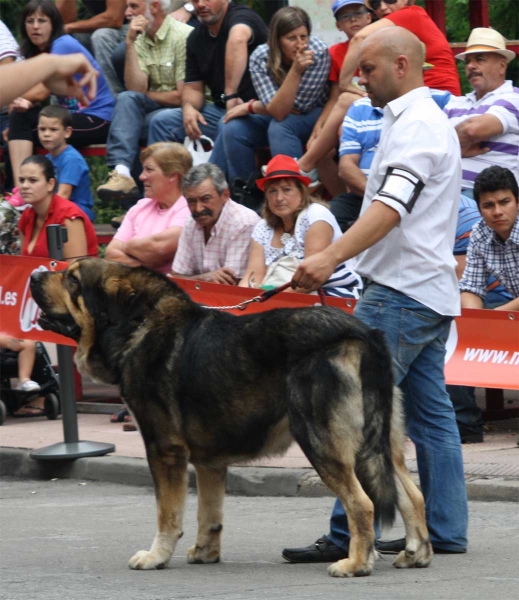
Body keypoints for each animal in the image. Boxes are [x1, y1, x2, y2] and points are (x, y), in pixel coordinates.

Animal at [30, 258, 432, 576]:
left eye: (72, 280)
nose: (34, 274)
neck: (137, 323)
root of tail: (364, 335)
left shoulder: (164, 449)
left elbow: (167, 513)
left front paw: (157, 556)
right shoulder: (209, 461)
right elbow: (208, 514)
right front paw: (205, 552)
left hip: (322, 441)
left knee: (362, 504)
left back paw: (356, 563)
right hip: (380, 444)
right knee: (412, 495)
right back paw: (416, 555)